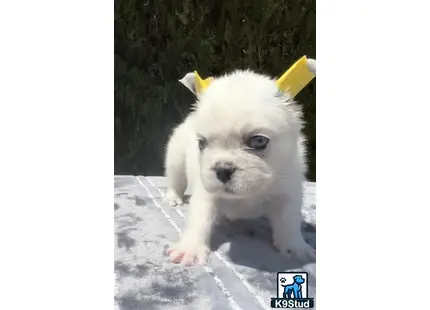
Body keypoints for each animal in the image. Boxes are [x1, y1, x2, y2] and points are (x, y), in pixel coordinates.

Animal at [163, 61, 314, 266]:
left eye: (259, 141)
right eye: (202, 143)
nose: (222, 170)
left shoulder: (287, 190)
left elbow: (288, 220)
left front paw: (296, 247)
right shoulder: (206, 191)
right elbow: (200, 218)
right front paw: (191, 248)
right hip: (176, 158)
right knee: (175, 179)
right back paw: (173, 197)